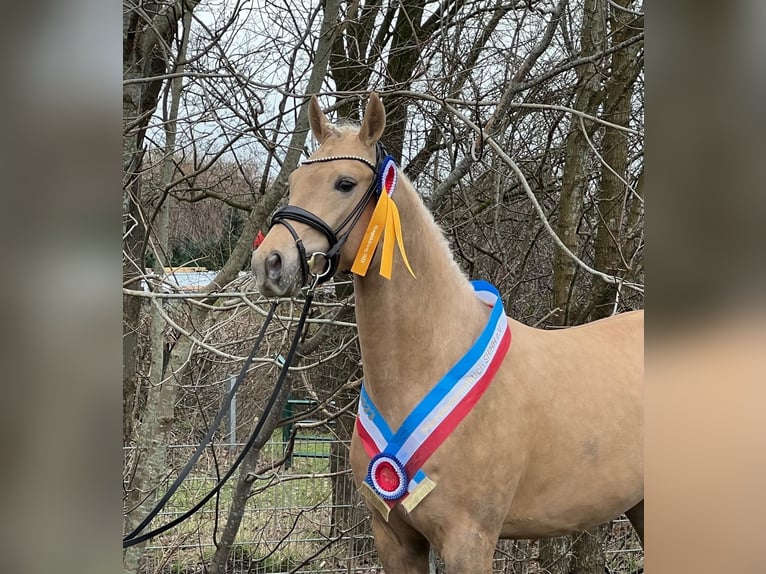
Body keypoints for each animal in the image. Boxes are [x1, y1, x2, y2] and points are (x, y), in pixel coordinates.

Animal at [255, 93, 644, 572]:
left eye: (344, 183)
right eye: (294, 181)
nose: (270, 263)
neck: (431, 362)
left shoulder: (468, 542)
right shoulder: (395, 539)